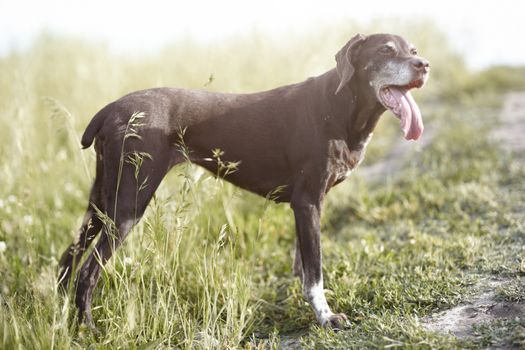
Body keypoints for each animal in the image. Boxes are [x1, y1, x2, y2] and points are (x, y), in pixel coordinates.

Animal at [57, 32, 428, 328]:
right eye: (386, 50)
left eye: (412, 49)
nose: (424, 64)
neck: (339, 105)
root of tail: (110, 110)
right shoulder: (308, 202)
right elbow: (315, 273)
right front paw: (326, 318)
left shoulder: (305, 208)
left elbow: (304, 268)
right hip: (128, 206)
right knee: (87, 273)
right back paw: (89, 329)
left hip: (102, 202)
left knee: (67, 260)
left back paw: (63, 321)